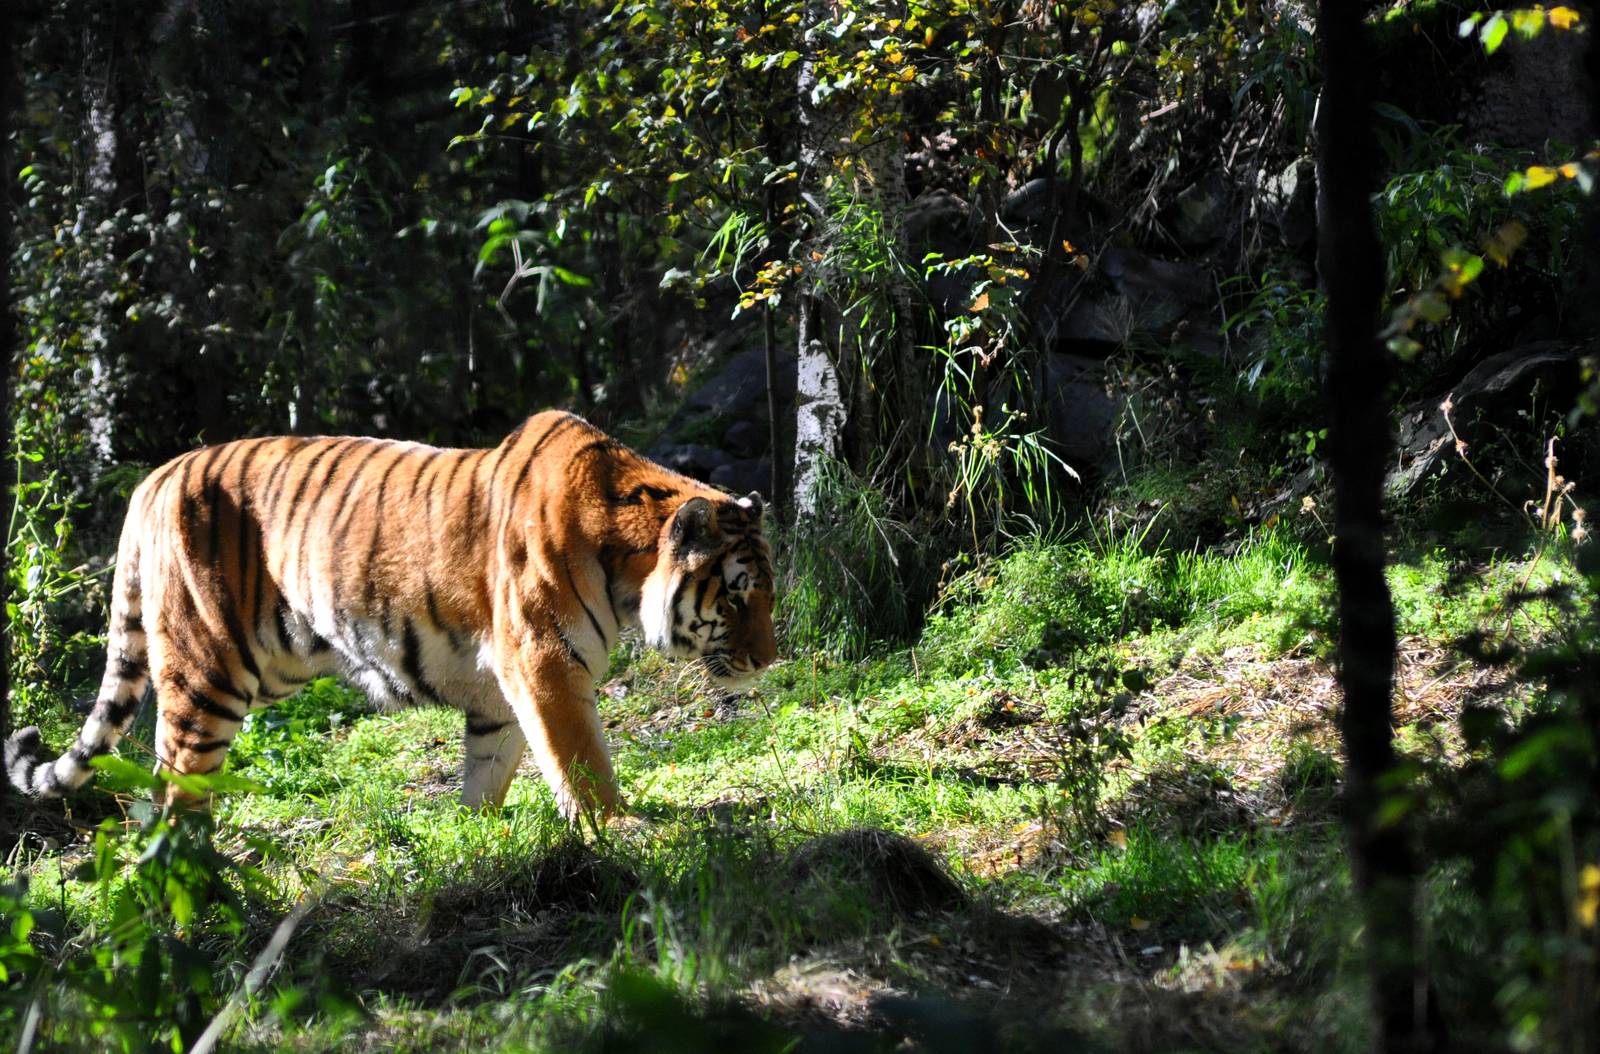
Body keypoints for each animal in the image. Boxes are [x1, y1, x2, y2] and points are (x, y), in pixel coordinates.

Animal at [4, 410, 777, 820]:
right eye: (738, 595)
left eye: (767, 595)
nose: (770, 661)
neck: (625, 564)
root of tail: (153, 478)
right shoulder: (544, 661)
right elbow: (580, 759)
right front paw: (619, 829)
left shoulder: (503, 685)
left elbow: (491, 766)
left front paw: (481, 842)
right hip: (207, 675)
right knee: (172, 790)